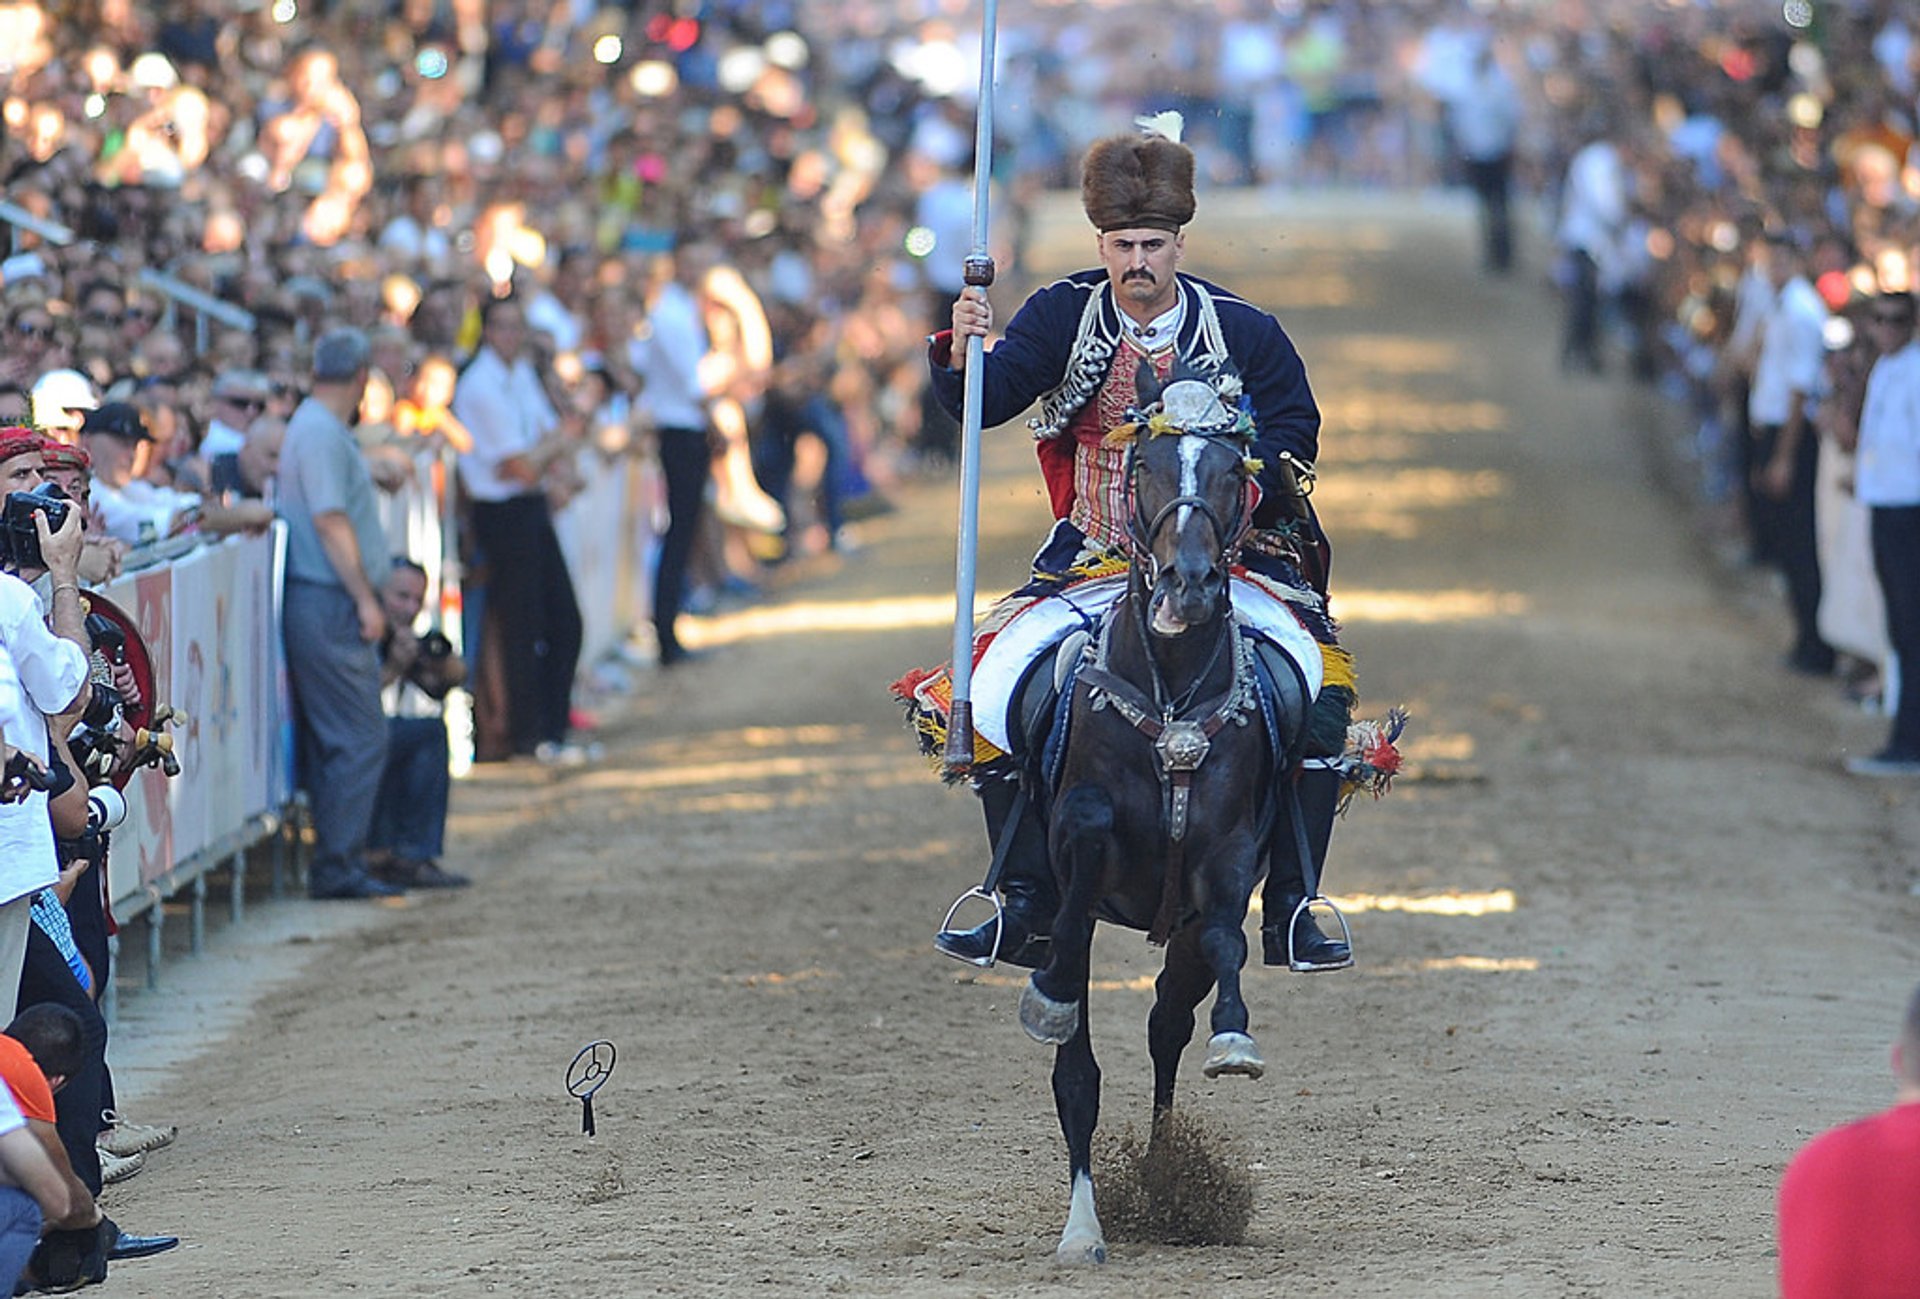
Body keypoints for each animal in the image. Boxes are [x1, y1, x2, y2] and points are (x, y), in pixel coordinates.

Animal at [1013, 370, 1313, 1258]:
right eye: (1143, 467)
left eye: (1229, 468)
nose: (1188, 582)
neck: (1174, 684)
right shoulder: (1076, 835)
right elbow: (1074, 913)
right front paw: (1048, 997)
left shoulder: (1226, 852)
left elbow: (1224, 942)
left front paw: (1236, 1038)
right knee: (1078, 1068)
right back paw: (1088, 1221)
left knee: (1165, 1022)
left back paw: (1162, 1177)